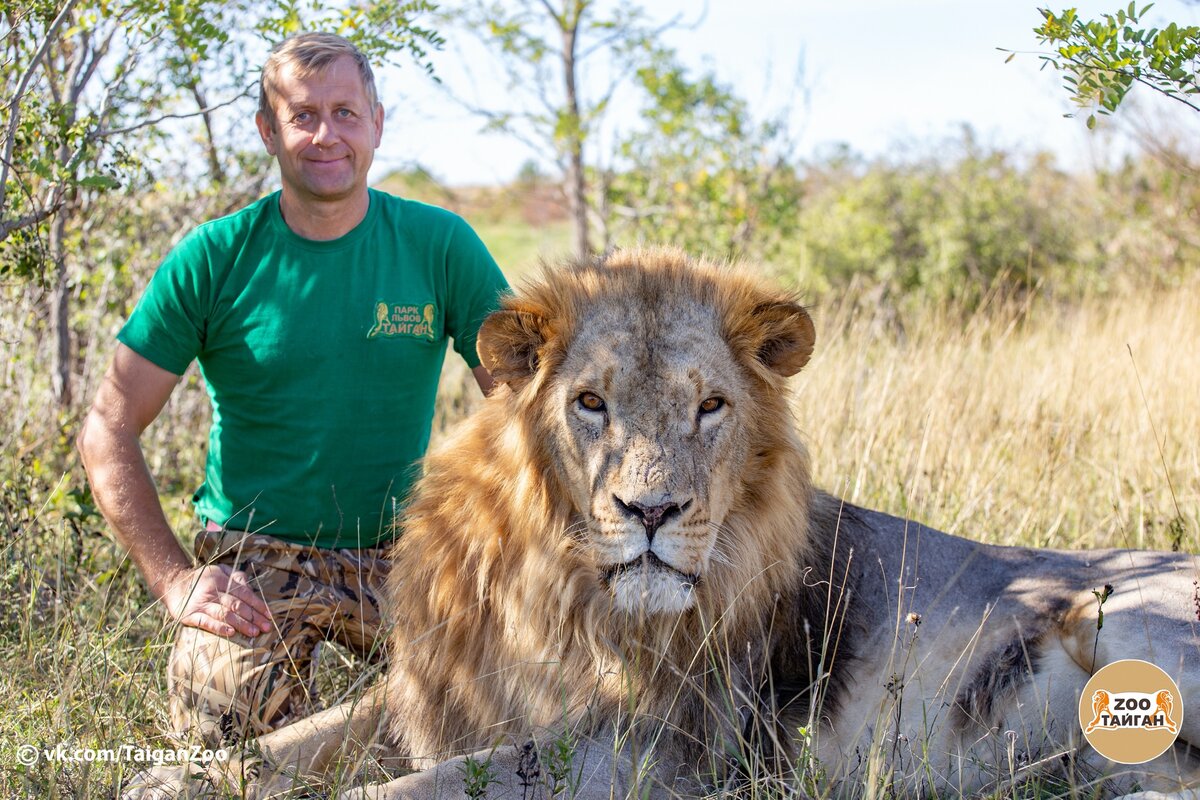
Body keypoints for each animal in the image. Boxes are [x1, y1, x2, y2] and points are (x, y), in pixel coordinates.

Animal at [136, 247, 1195, 796]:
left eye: (710, 408)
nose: (650, 510)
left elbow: (411, 790)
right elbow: (276, 747)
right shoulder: (432, 694)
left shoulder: (648, 752)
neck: (552, 589)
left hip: (1125, 624)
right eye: (591, 403)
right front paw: (170, 778)